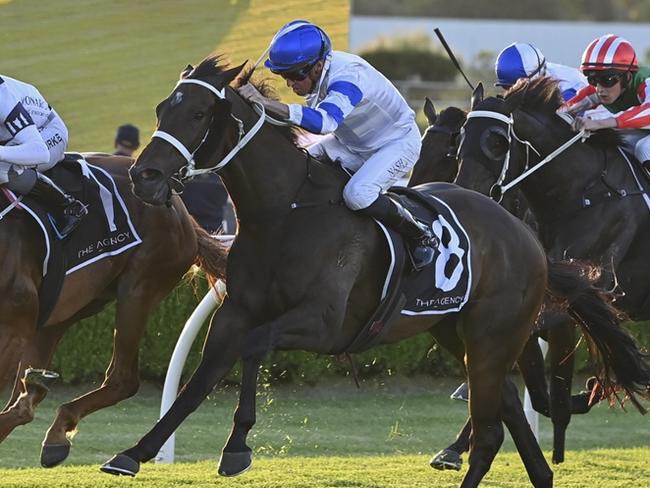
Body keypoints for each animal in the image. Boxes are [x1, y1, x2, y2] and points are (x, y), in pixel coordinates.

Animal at [0, 154, 228, 468]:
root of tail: (183, 212)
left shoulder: (12, 329)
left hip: (138, 289)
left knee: (122, 379)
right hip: (63, 309)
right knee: (28, 395)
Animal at [97, 55, 648, 486]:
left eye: (197, 112)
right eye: (161, 109)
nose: (145, 176)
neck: (284, 212)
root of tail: (528, 237)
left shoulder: (323, 324)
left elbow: (254, 348)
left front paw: (237, 446)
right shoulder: (236, 310)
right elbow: (200, 379)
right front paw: (133, 453)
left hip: (494, 332)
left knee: (492, 427)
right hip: (456, 331)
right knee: (507, 410)